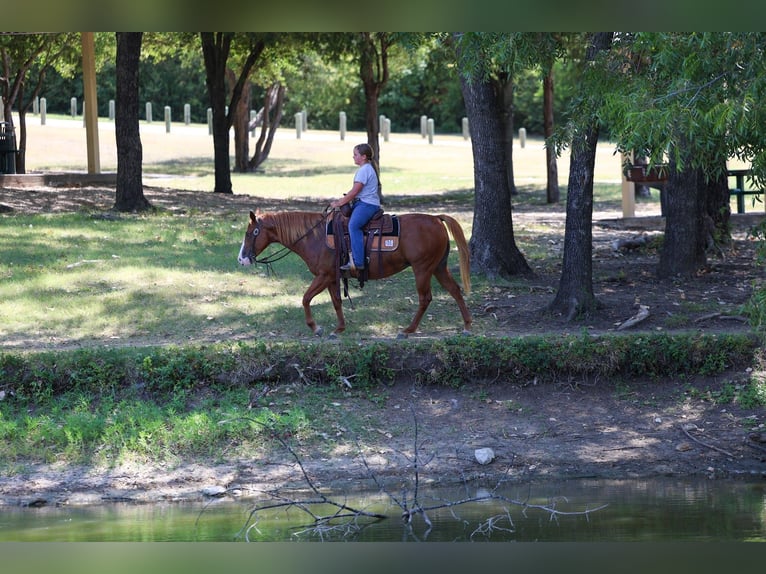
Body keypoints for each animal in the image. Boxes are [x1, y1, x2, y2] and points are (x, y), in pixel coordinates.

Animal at [237, 209, 472, 338]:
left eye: (251, 233)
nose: (242, 259)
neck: (315, 236)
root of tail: (436, 218)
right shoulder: (332, 277)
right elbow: (336, 302)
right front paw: (338, 329)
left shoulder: (323, 275)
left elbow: (305, 298)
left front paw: (316, 328)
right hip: (438, 267)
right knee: (455, 290)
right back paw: (467, 326)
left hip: (422, 268)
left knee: (425, 298)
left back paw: (408, 330)